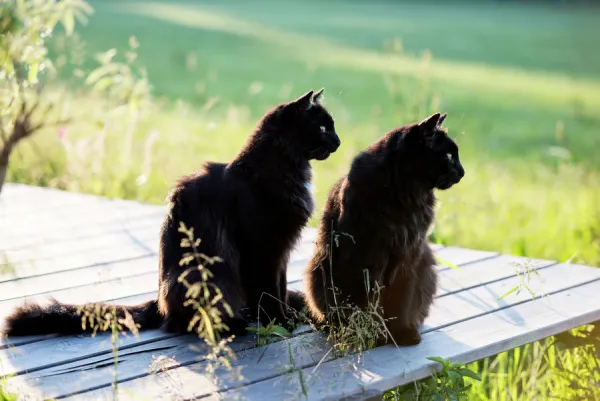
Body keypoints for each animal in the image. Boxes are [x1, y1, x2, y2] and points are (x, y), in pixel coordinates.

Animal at [3, 89, 342, 336]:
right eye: (323, 127)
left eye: (333, 126)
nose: (339, 142)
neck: (284, 168)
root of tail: (159, 299)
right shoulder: (263, 250)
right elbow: (268, 295)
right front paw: (280, 323)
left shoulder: (281, 252)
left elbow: (280, 290)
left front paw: (288, 317)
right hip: (200, 276)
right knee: (187, 322)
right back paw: (236, 324)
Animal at [304, 111, 464, 344]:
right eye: (449, 156)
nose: (462, 172)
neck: (408, 195)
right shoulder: (368, 259)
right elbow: (369, 302)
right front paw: (374, 333)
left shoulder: (409, 256)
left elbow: (401, 301)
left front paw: (402, 332)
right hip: (320, 269)